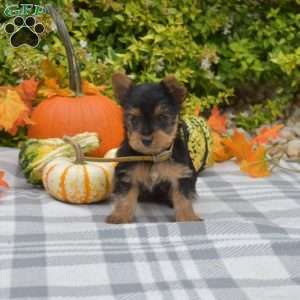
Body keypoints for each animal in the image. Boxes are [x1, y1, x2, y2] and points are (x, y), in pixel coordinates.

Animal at [105, 72, 202, 223]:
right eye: (134, 119)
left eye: (162, 117)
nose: (146, 140)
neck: (153, 156)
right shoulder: (127, 173)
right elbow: (124, 197)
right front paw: (120, 216)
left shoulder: (181, 173)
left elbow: (183, 197)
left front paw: (187, 217)